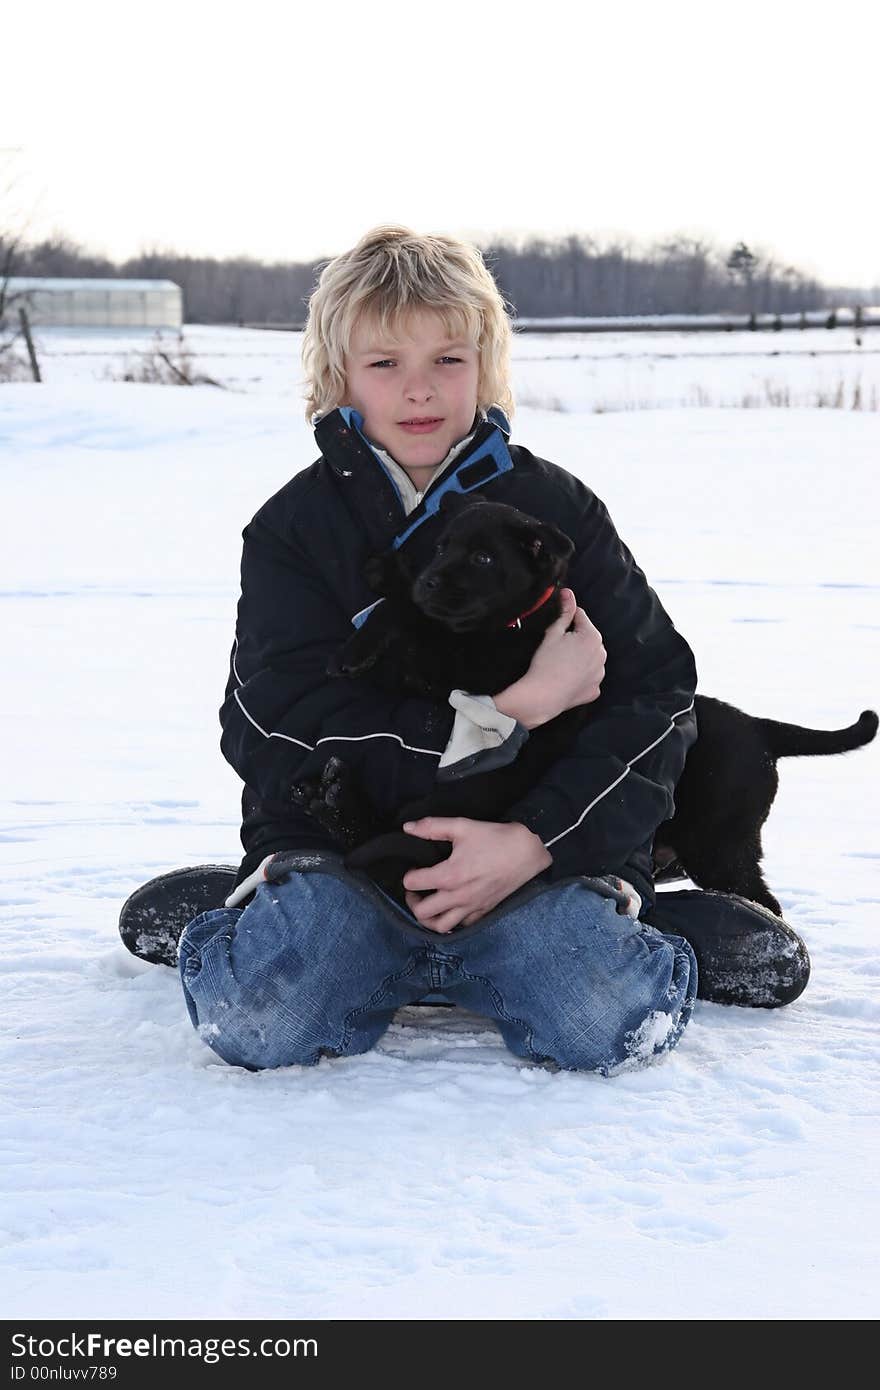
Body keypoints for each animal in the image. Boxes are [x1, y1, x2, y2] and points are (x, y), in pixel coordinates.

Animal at [291, 494, 873, 917]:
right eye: (440, 549)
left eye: (483, 558)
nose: (432, 578)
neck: (514, 622)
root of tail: (759, 726)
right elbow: (412, 612)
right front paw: (389, 572)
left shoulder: (462, 668)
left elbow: (411, 617)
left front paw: (358, 643)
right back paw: (327, 794)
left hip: (716, 841)